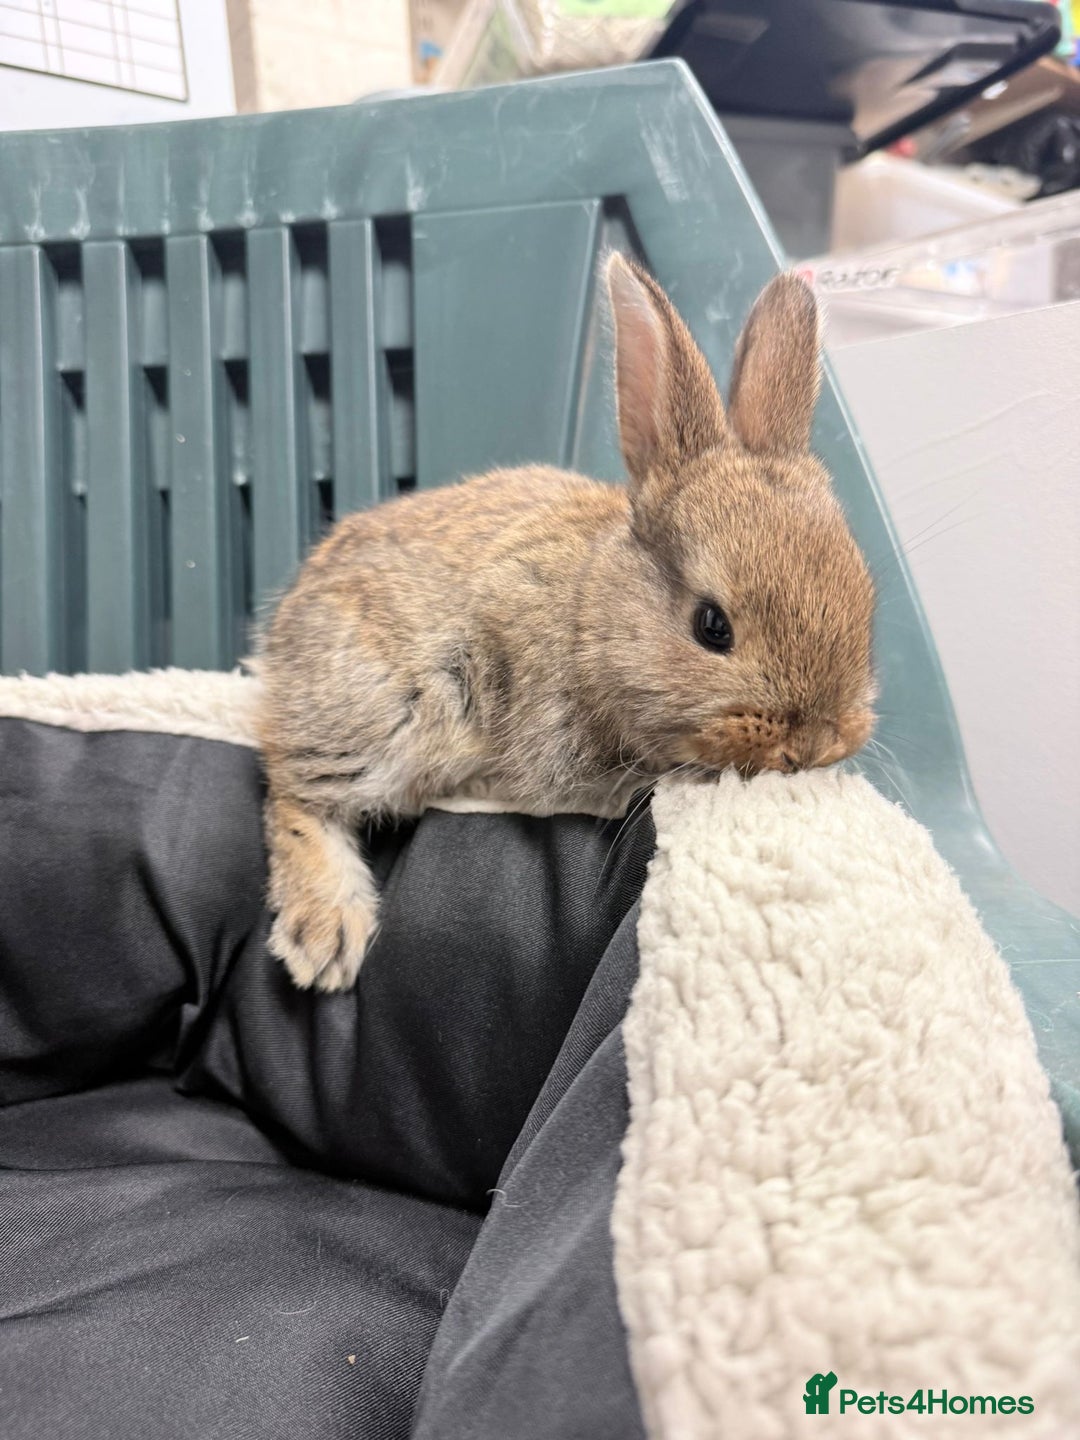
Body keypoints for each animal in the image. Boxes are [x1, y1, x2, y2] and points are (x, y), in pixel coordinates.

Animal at [256, 255, 877, 992]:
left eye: (866, 596)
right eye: (712, 627)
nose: (815, 745)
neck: (590, 615)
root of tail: (277, 646)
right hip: (383, 710)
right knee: (293, 791)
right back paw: (325, 937)